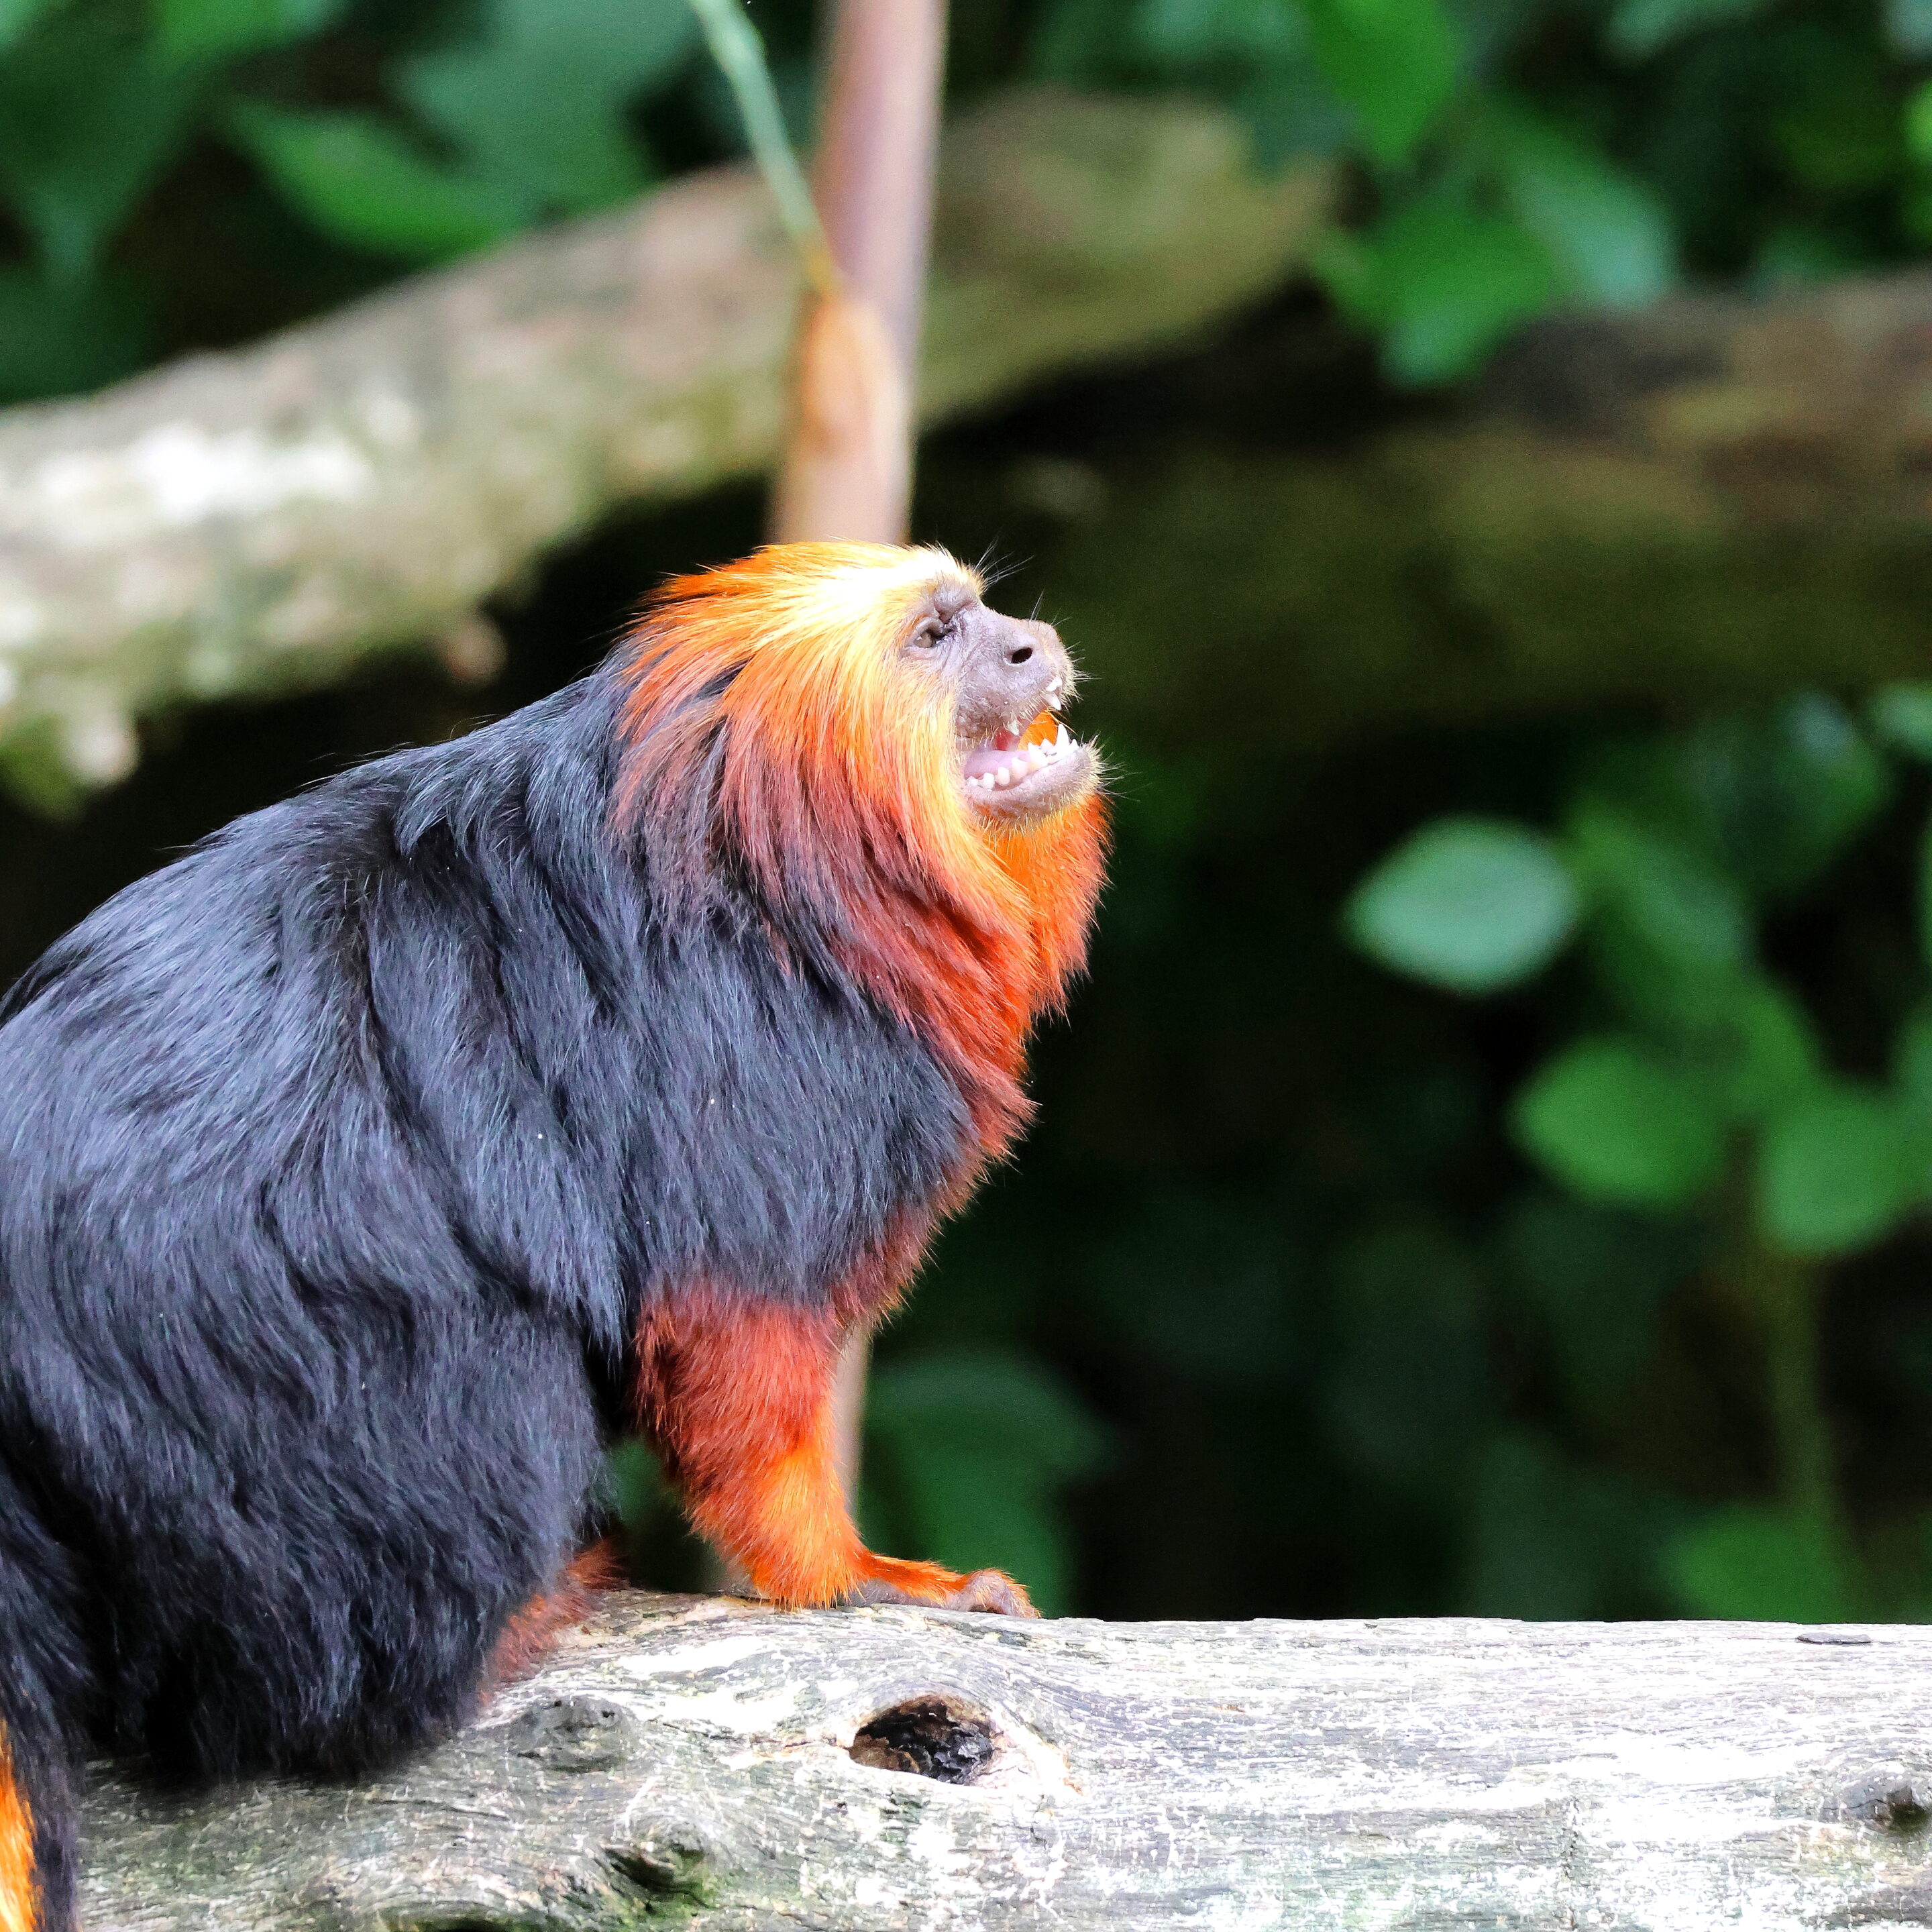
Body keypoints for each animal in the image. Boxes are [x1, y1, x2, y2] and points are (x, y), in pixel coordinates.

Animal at [0, 541, 1106, 1931]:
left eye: (992, 612)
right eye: (939, 636)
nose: (1029, 647)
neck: (791, 878)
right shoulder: (748, 1082)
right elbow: (737, 1348)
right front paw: (841, 1575)